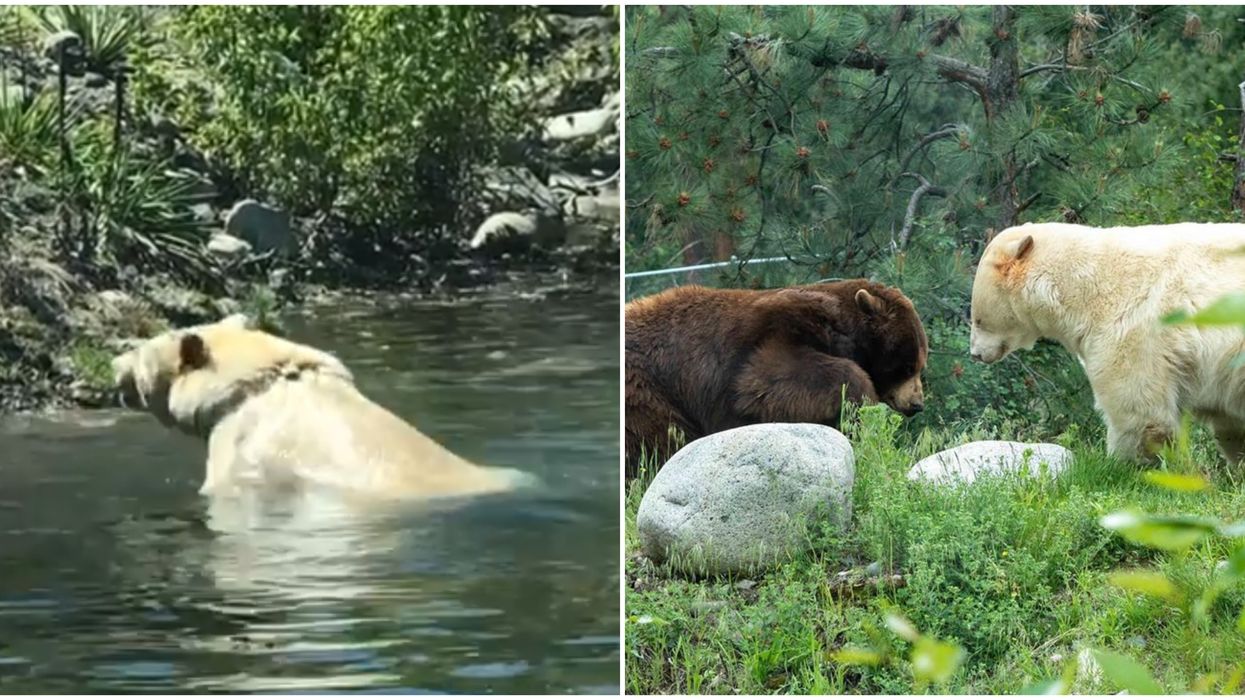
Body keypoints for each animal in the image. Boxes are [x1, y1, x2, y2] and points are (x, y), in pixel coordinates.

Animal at [625, 280, 928, 478]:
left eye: (920, 364)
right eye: (907, 366)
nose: (917, 403)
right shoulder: (777, 330)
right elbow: (764, 381)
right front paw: (857, 398)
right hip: (647, 387)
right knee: (660, 435)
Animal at [970, 221, 1245, 462]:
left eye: (978, 320)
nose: (975, 354)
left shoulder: (1131, 326)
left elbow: (1139, 412)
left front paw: (1120, 468)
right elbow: (1229, 422)